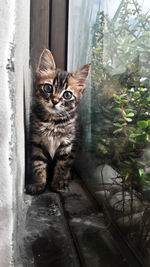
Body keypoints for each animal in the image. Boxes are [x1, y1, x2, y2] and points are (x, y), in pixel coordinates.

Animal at [25, 48, 89, 195]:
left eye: (67, 95)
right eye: (48, 88)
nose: (54, 101)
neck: (52, 121)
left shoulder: (68, 144)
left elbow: (62, 165)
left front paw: (58, 181)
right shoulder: (36, 142)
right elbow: (37, 164)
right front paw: (38, 183)